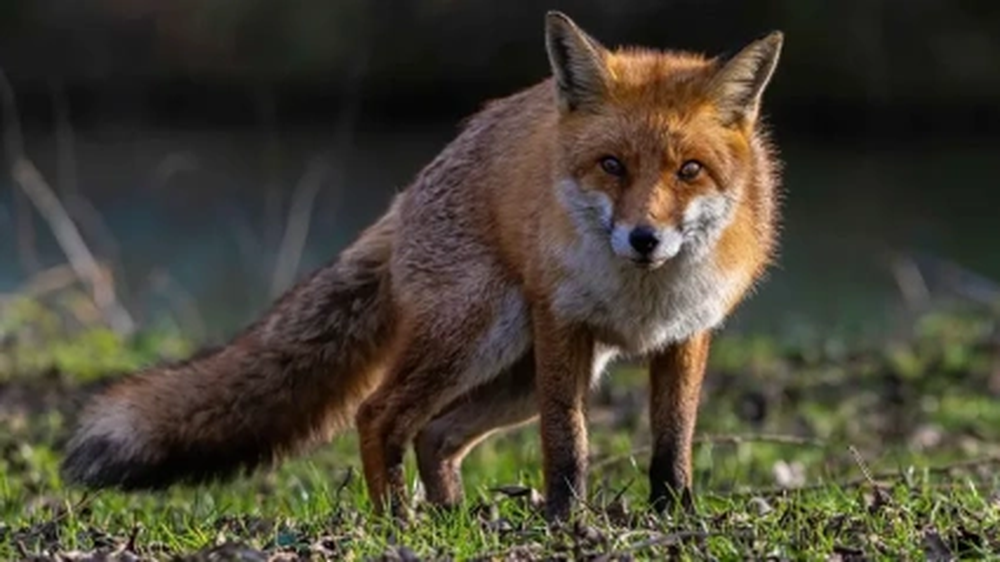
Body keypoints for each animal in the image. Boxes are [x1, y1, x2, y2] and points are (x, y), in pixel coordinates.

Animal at [61, 11, 785, 523]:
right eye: (611, 165)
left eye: (689, 170)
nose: (644, 239)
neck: (642, 297)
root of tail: (407, 194)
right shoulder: (562, 323)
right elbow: (567, 441)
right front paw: (565, 519)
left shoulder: (687, 334)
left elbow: (673, 441)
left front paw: (675, 515)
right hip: (483, 338)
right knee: (379, 414)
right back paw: (397, 521)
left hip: (518, 374)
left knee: (435, 433)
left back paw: (452, 517)